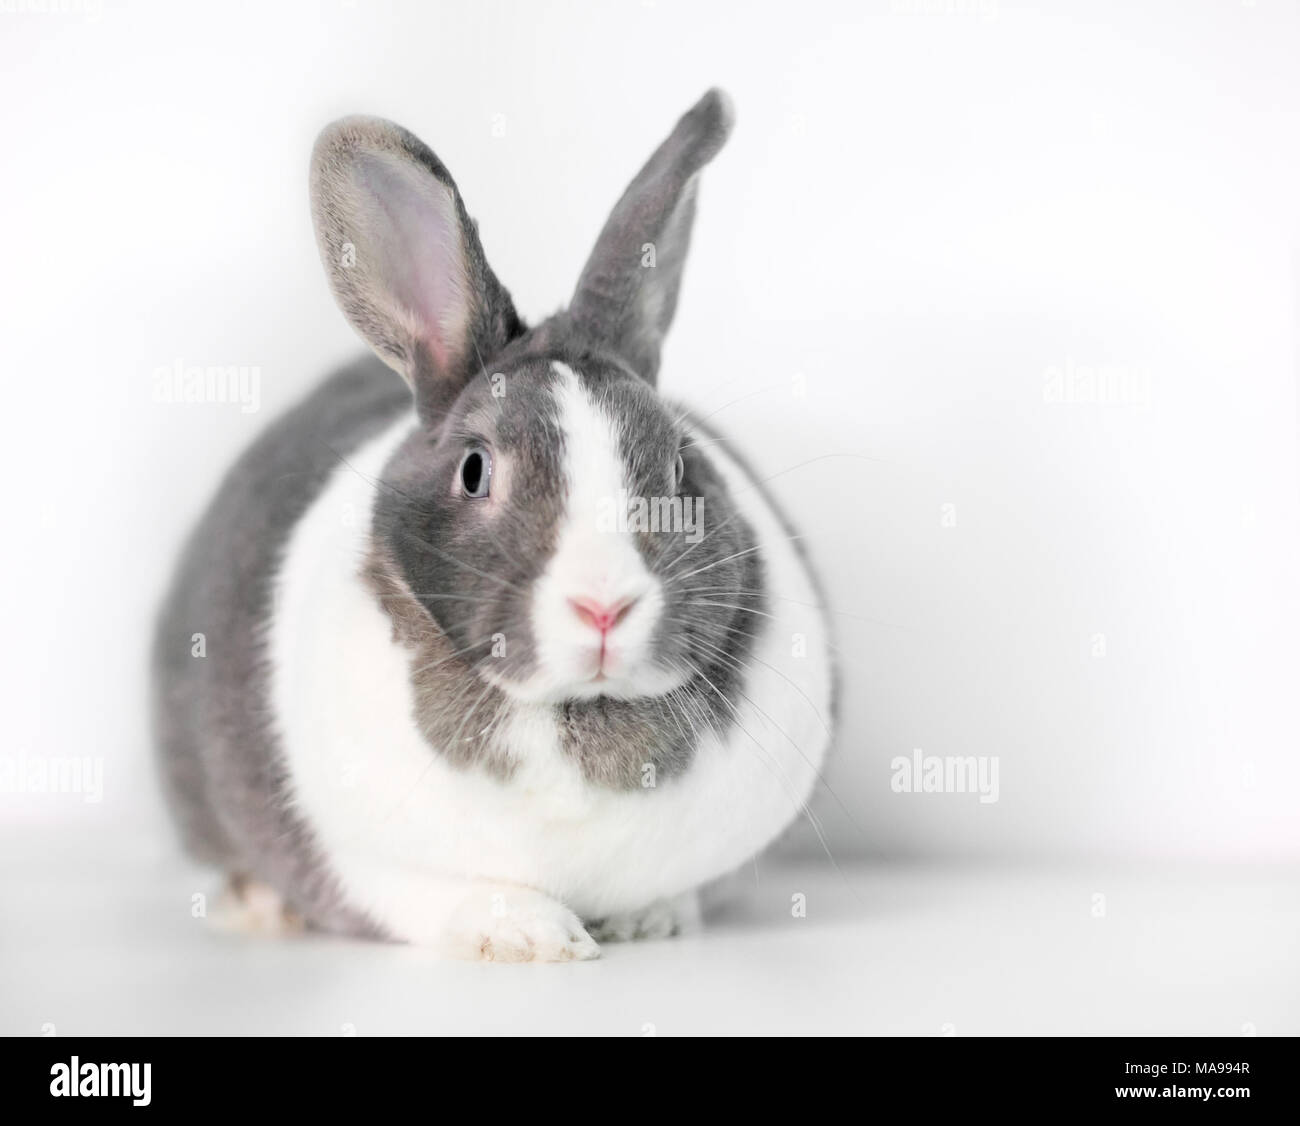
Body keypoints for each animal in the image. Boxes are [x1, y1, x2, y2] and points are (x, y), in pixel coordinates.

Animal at [152, 92, 832, 962]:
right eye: (475, 469)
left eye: (683, 467)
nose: (603, 608)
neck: (575, 709)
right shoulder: (377, 868)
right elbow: (453, 896)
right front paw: (533, 936)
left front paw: (647, 921)